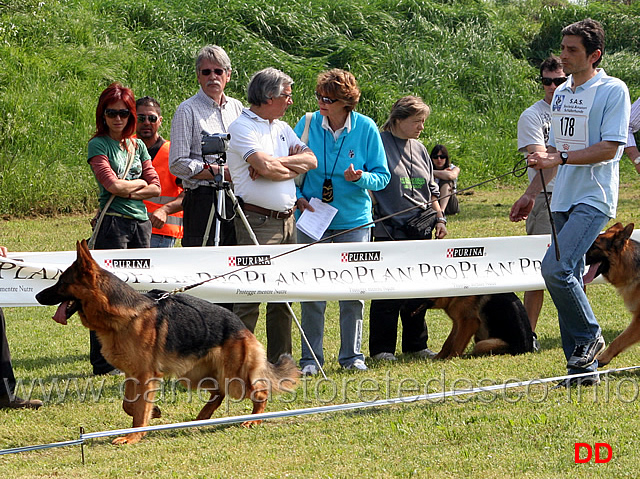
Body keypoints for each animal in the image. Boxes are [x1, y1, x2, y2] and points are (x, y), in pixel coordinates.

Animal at [36, 240, 302, 446]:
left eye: (62, 283)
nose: (38, 296)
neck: (123, 315)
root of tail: (241, 327)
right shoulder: (133, 375)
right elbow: (129, 405)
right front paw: (152, 414)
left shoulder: (146, 376)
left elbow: (138, 408)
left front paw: (133, 436)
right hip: (194, 376)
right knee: (218, 393)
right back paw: (200, 418)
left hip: (234, 378)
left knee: (260, 391)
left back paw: (252, 419)